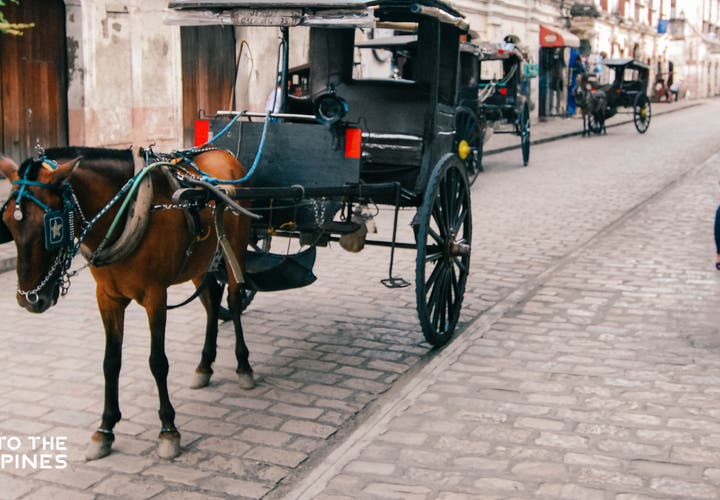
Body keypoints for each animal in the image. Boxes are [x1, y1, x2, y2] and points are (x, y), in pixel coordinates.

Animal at [0, 146, 252, 460]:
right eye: (7, 221)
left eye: (53, 225)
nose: (30, 299)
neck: (128, 210)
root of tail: (225, 153)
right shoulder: (107, 298)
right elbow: (111, 362)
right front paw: (105, 429)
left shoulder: (156, 296)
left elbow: (157, 362)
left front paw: (168, 429)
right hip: (200, 260)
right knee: (212, 299)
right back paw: (204, 366)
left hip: (236, 248)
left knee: (233, 298)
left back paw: (244, 365)